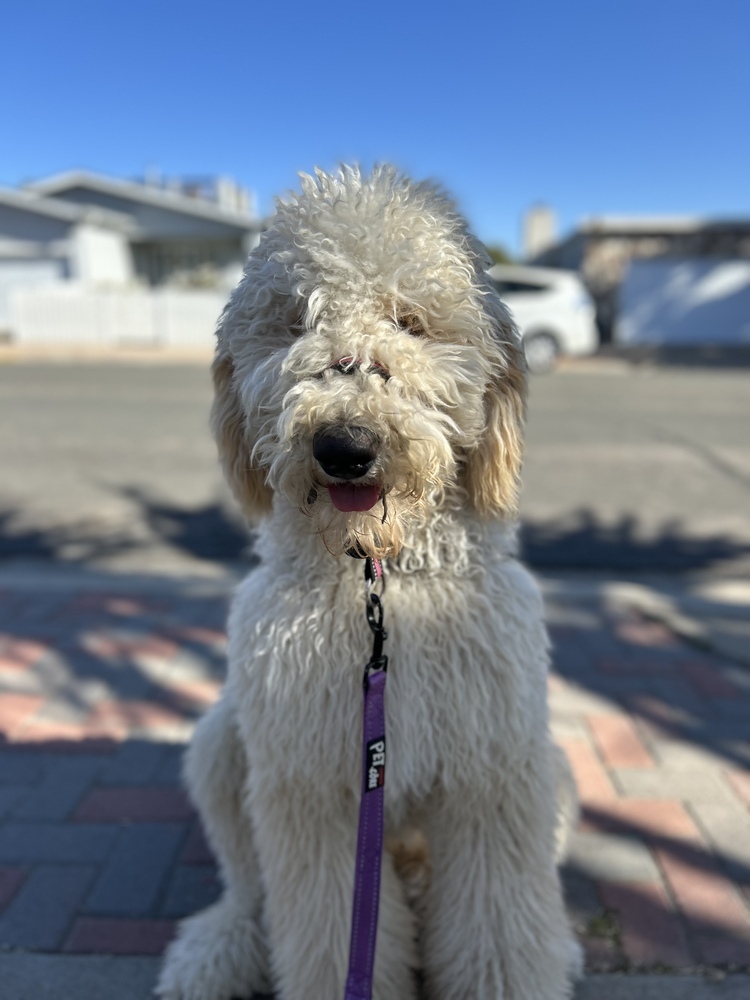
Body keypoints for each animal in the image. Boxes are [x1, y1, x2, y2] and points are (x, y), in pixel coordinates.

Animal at [157, 166, 580, 1000]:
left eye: (410, 322)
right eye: (296, 322)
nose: (345, 444)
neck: (380, 588)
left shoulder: (495, 772)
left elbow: (499, 924)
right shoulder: (315, 785)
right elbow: (330, 929)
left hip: (552, 766)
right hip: (225, 743)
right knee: (247, 887)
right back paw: (216, 947)